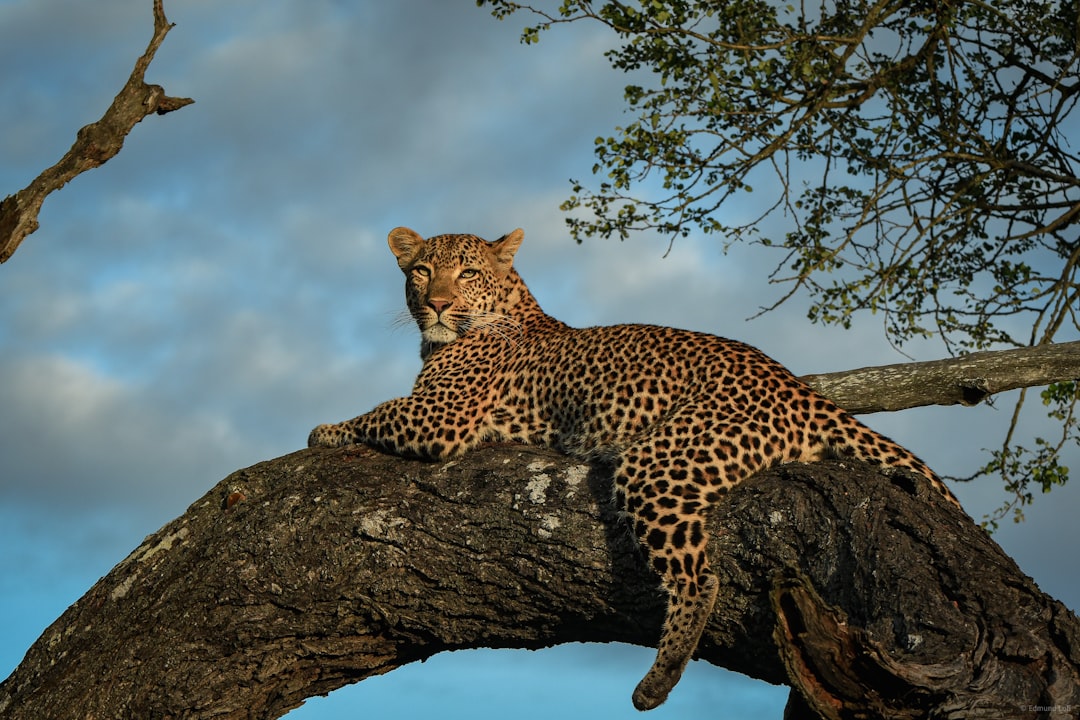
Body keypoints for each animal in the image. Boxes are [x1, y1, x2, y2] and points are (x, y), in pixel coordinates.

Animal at [308, 226, 959, 710]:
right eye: (421, 271)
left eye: (467, 273)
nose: (438, 304)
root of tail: (800, 389)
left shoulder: (438, 415)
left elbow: (378, 410)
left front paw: (324, 431)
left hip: (658, 462)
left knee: (700, 580)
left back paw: (656, 681)